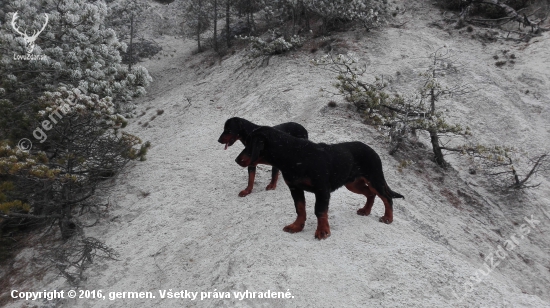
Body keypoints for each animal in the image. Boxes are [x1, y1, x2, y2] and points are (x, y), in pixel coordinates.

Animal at [235, 126, 404, 239]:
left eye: (249, 145)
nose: (237, 160)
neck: (293, 154)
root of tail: (373, 150)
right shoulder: (295, 188)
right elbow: (300, 208)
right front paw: (296, 226)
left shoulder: (322, 190)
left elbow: (320, 211)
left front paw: (323, 231)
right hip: (352, 183)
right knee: (370, 194)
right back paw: (365, 210)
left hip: (375, 178)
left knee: (387, 197)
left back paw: (388, 218)